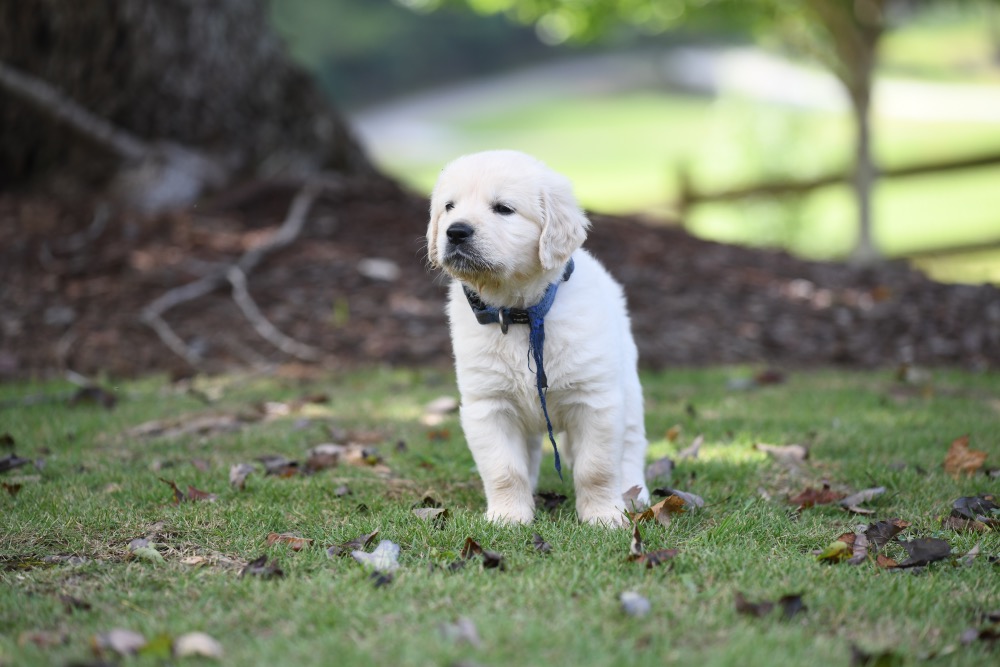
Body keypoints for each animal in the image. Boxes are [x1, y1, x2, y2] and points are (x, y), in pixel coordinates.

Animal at [428, 151, 648, 528]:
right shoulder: (488, 405)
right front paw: (508, 517)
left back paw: (635, 495)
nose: (455, 231)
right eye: (449, 207)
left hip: (628, 391)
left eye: (503, 208)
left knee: (632, 445)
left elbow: (596, 468)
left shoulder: (596, 401)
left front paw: (604, 517)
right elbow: (504, 469)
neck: (520, 314)